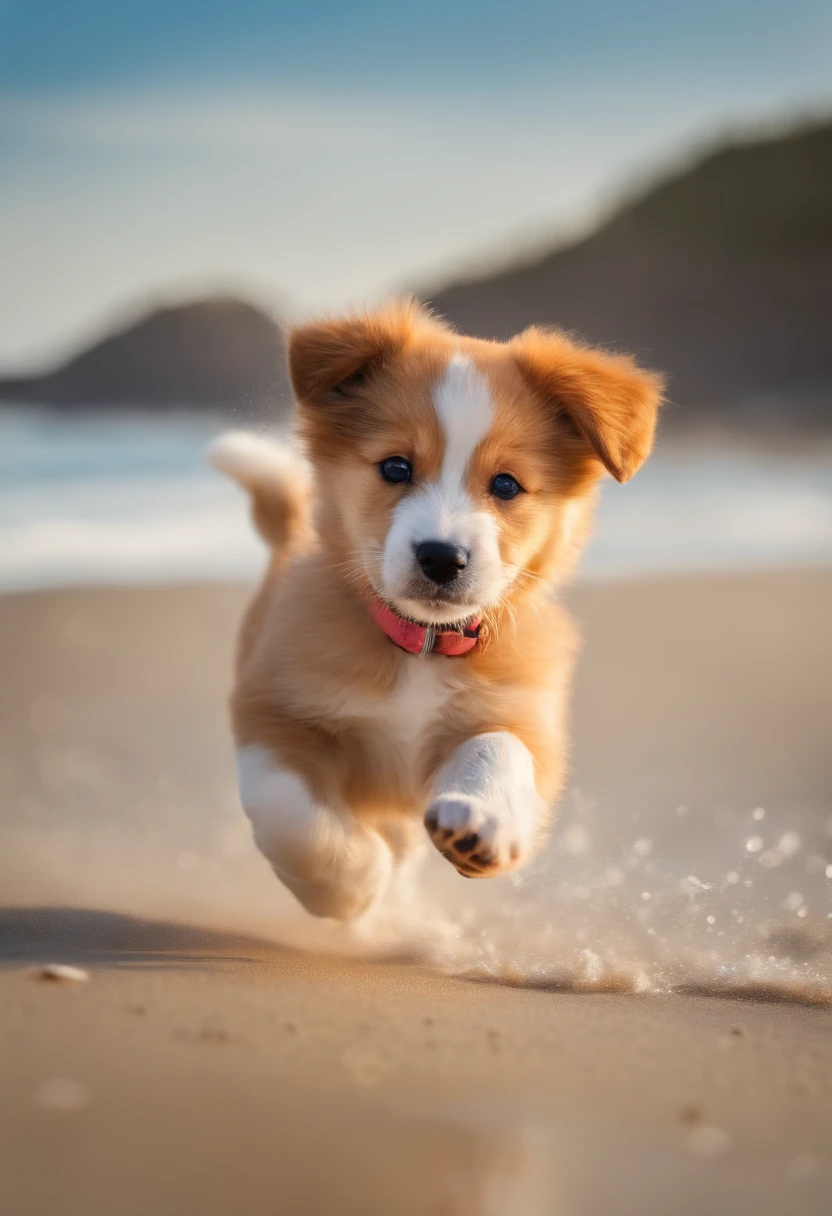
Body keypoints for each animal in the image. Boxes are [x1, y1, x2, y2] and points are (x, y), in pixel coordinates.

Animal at [209, 299, 661, 914]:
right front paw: (349, 883)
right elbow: (288, 812)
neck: (421, 646)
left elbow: (501, 746)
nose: (442, 558)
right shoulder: (271, 706)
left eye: (506, 485)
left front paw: (484, 820)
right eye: (396, 467)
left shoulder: (526, 712)